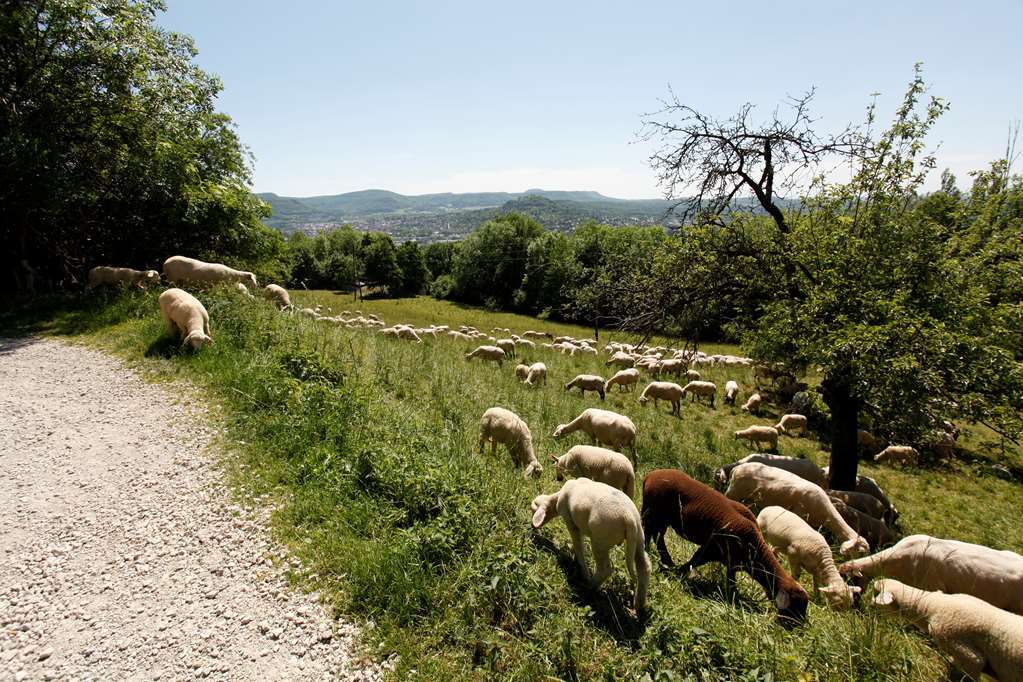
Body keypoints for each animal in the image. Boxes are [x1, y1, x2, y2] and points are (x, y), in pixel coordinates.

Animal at [531, 478, 650, 617]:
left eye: (533, 508)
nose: (533, 527)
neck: (557, 498)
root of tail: (629, 518)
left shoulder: (570, 521)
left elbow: (578, 544)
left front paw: (582, 568)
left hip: (600, 540)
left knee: (605, 569)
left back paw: (589, 586)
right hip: (638, 538)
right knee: (644, 567)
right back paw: (639, 603)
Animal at [642, 470, 810, 625]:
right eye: (796, 606)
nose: (797, 627)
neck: (755, 554)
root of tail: (651, 475)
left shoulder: (732, 562)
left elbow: (730, 582)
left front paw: (734, 598)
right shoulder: (712, 548)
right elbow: (694, 561)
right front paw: (677, 573)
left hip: (659, 516)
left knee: (655, 535)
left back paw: (662, 558)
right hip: (654, 513)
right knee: (651, 532)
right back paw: (656, 556)